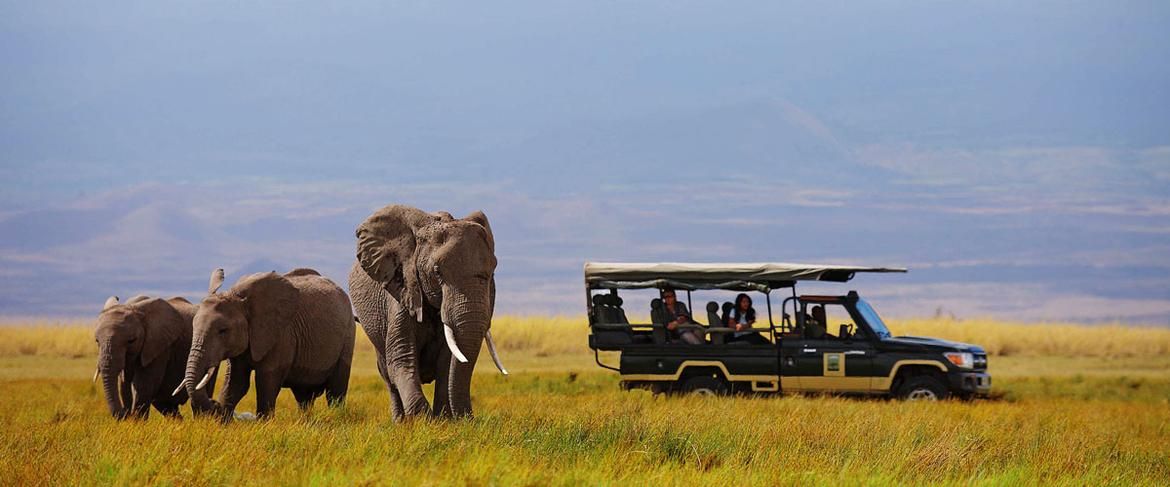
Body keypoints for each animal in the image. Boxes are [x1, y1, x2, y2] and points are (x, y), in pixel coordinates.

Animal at [180, 268, 355, 420]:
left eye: (222, 331)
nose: (214, 404)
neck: (238, 298)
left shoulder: (281, 335)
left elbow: (267, 381)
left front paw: (264, 424)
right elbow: (236, 382)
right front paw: (223, 422)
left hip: (347, 335)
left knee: (336, 390)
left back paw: (336, 417)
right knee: (304, 396)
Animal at [349, 204, 507, 421]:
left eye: (492, 272)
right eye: (437, 272)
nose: (469, 418)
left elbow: (447, 363)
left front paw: (444, 421)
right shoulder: (402, 289)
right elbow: (402, 357)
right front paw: (423, 421)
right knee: (387, 374)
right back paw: (399, 422)